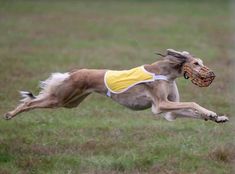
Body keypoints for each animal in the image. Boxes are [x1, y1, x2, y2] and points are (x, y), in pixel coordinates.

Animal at [3, 48, 229, 123]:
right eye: (196, 63)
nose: (212, 74)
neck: (167, 72)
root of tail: (74, 72)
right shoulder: (160, 105)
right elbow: (193, 103)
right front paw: (211, 113)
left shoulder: (169, 110)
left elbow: (191, 110)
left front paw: (216, 117)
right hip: (60, 98)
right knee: (29, 103)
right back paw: (10, 114)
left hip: (70, 102)